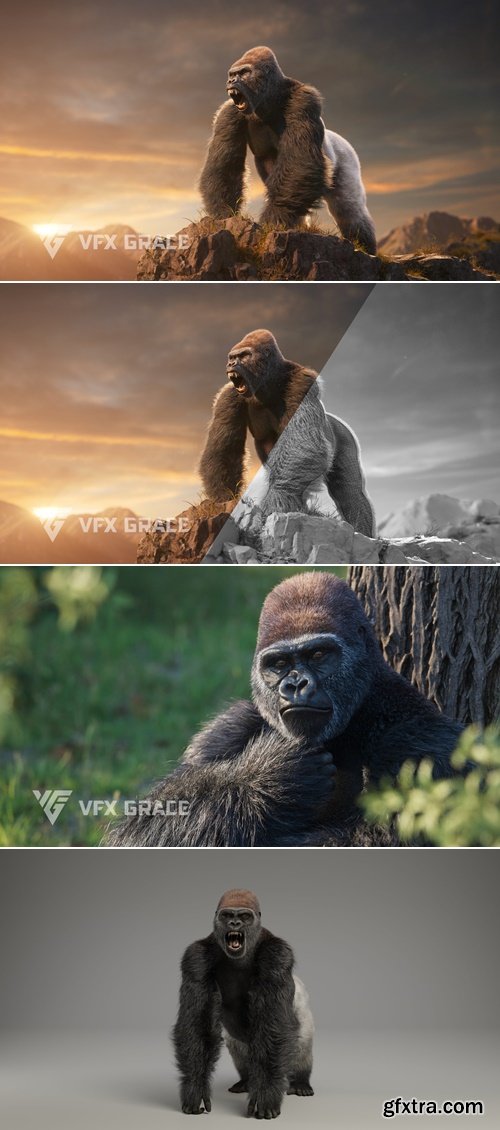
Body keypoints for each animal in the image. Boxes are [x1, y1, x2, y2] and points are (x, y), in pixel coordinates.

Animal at [104, 572, 464, 848]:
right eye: (278, 664)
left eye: (319, 655)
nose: (295, 684)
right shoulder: (226, 731)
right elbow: (147, 827)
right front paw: (270, 780)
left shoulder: (416, 736)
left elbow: (386, 836)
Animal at [173, 889, 314, 1118]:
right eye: (227, 915)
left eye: (245, 916)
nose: (235, 924)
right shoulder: (195, 958)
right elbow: (197, 1025)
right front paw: (195, 1087)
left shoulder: (277, 955)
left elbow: (273, 1027)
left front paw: (266, 1093)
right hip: (239, 1042)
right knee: (240, 1052)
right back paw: (246, 1081)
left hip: (303, 1013)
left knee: (302, 1047)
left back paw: (301, 1082)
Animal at [198, 328, 376, 537]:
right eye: (232, 357)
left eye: (244, 355)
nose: (231, 364)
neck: (268, 380)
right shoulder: (229, 395)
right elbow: (224, 449)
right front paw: (223, 498)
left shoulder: (302, 383)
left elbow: (304, 445)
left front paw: (277, 498)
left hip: (344, 435)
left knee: (351, 492)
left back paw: (362, 531)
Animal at [199, 46, 376, 254]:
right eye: (232, 74)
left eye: (244, 73)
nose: (231, 81)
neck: (270, 98)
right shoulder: (228, 112)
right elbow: (224, 167)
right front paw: (223, 214)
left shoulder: (304, 99)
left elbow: (302, 161)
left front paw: (272, 221)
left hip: (347, 156)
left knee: (349, 209)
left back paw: (365, 248)